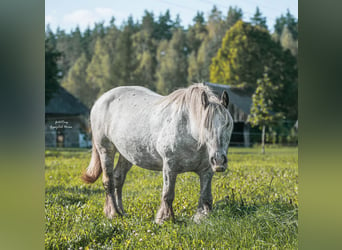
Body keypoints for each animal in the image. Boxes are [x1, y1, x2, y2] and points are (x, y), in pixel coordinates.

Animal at [81, 83, 234, 224]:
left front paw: (202, 216)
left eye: (227, 124)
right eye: (206, 125)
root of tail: (101, 100)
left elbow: (206, 196)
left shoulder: (206, 170)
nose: (219, 161)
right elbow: (168, 194)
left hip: (126, 155)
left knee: (118, 178)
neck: (188, 129)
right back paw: (113, 213)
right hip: (106, 150)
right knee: (108, 181)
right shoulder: (169, 167)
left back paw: (122, 212)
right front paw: (165, 218)